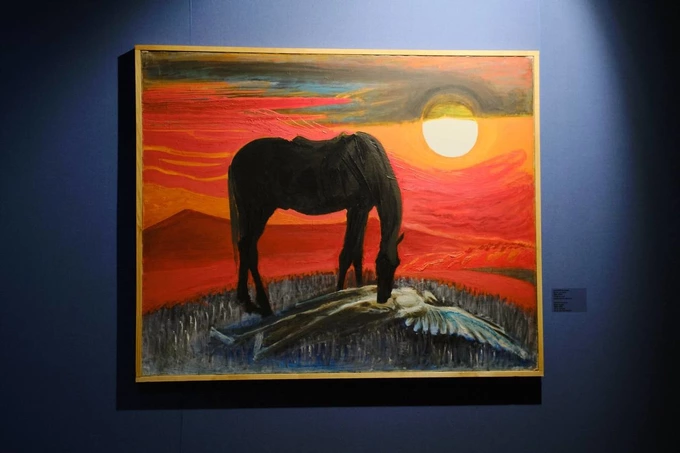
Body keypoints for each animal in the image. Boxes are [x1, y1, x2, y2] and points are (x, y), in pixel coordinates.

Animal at [228, 131, 403, 317]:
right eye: (380, 267)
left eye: (396, 265)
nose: (383, 297)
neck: (368, 162)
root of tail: (235, 161)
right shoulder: (355, 208)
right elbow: (347, 254)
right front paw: (339, 293)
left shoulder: (363, 209)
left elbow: (356, 253)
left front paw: (358, 288)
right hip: (258, 209)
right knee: (249, 248)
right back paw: (263, 306)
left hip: (250, 212)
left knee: (245, 247)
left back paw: (247, 302)